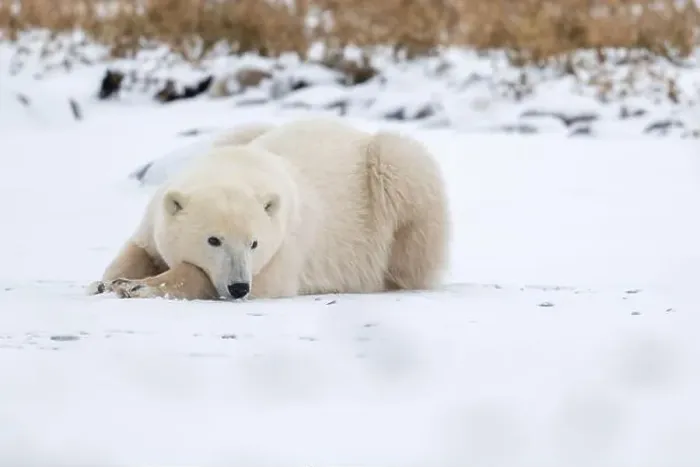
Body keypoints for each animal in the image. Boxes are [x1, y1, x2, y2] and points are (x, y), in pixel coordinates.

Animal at [89, 116, 450, 301]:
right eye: (213, 240)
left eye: (254, 243)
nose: (238, 287)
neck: (236, 166)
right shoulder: (157, 213)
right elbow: (139, 248)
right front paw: (107, 282)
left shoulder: (286, 242)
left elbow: (266, 281)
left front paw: (138, 286)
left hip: (393, 179)